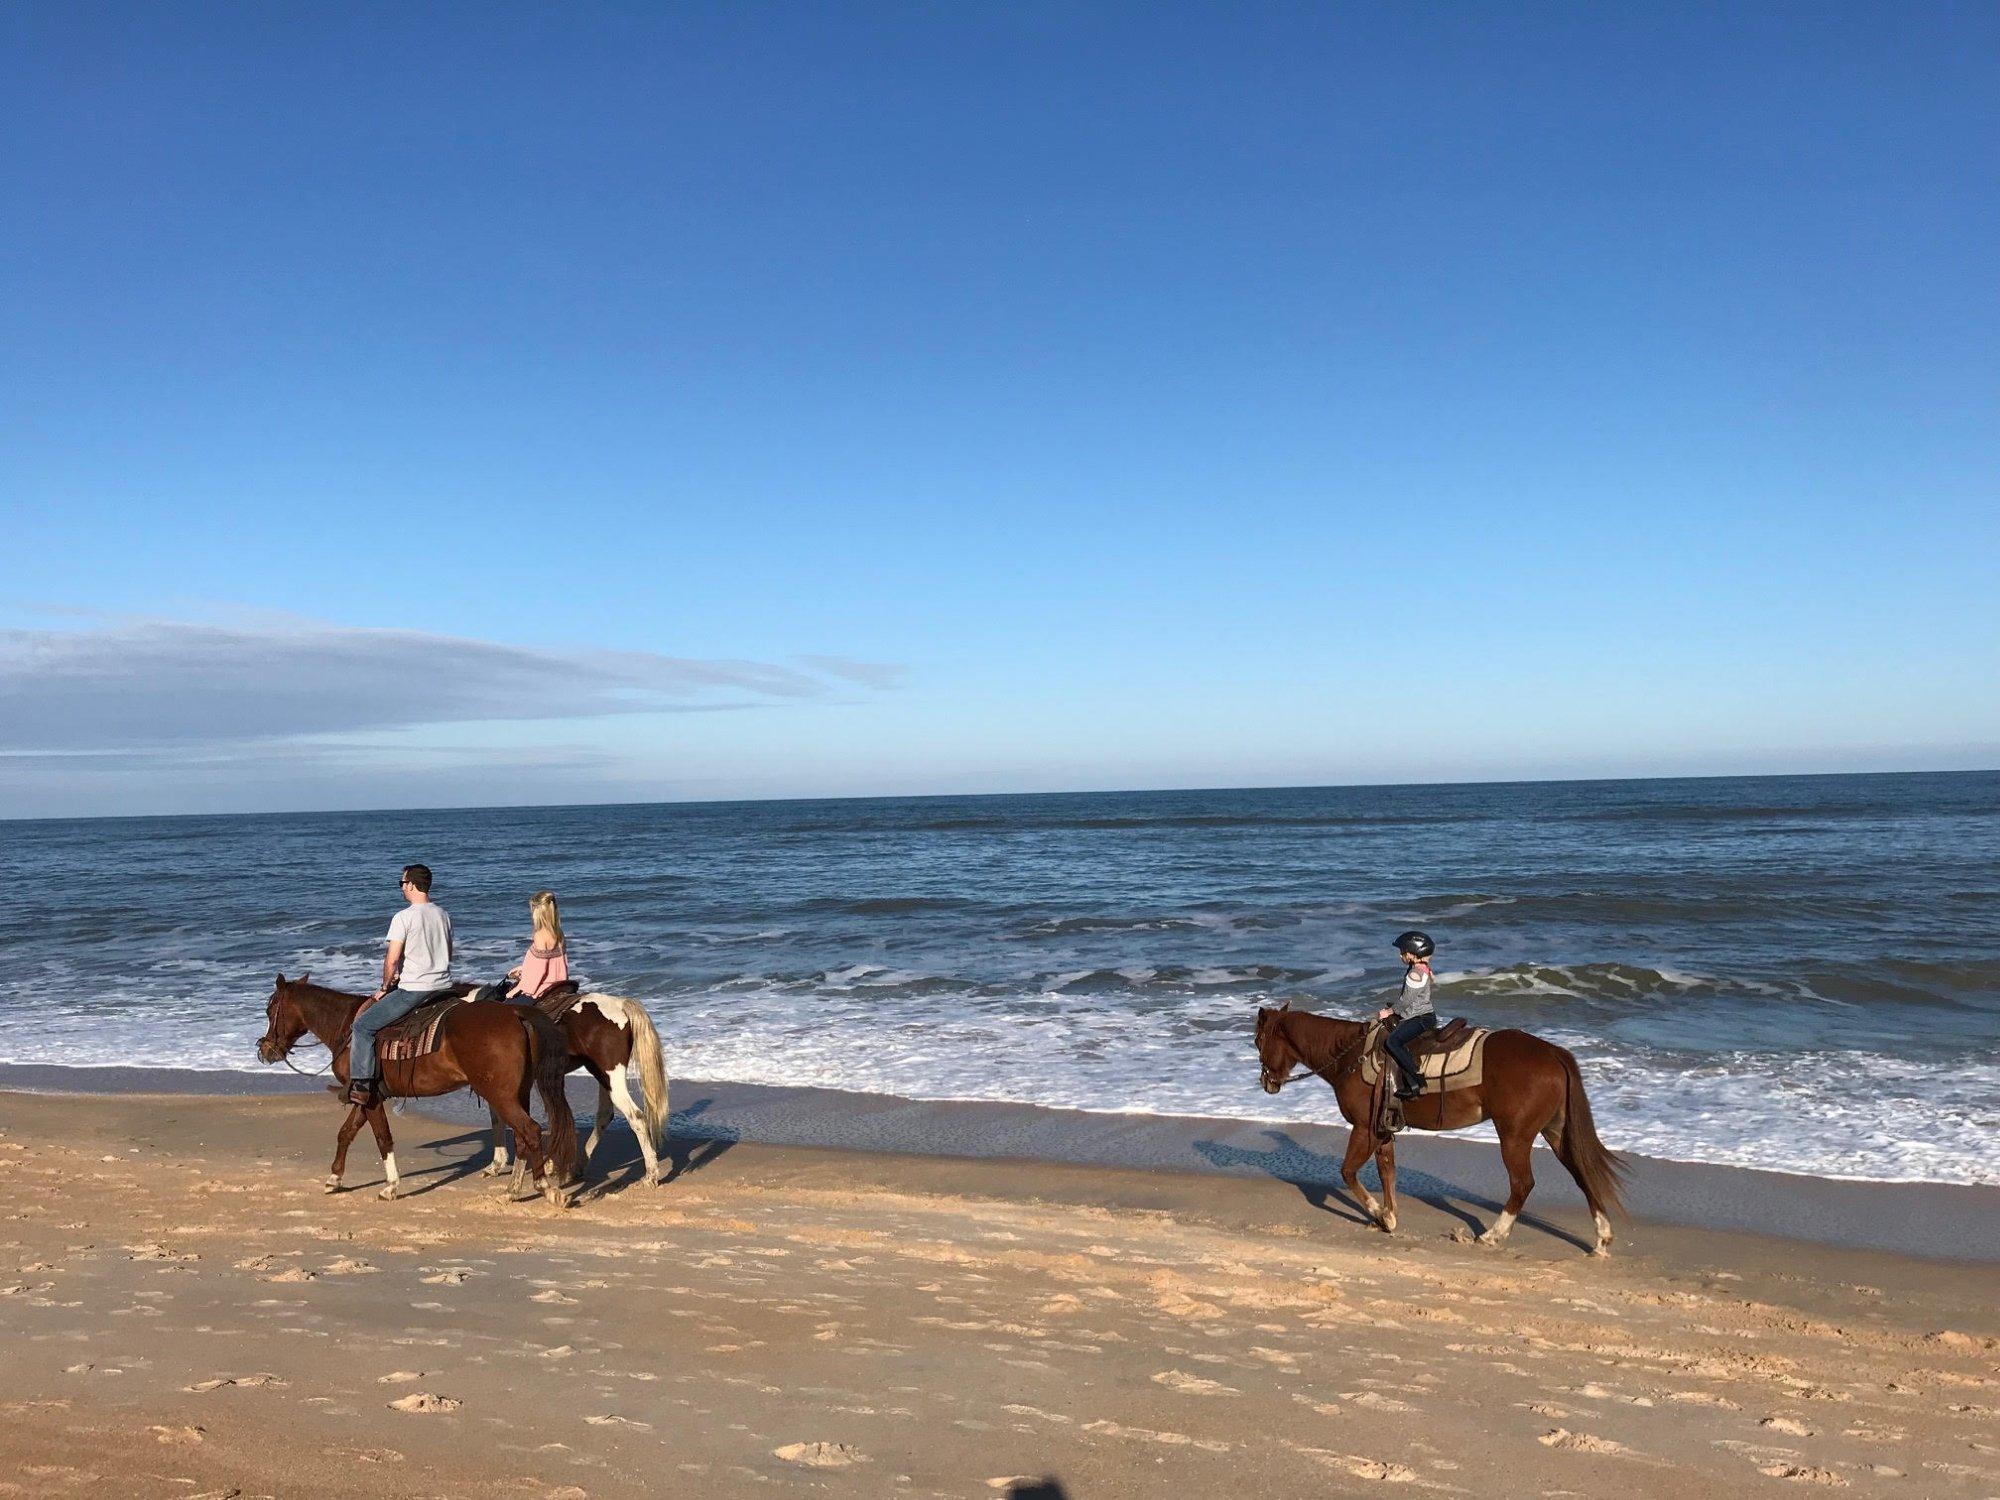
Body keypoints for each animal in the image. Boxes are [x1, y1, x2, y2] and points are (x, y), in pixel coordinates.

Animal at [254, 976, 576, 1208]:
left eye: (270, 1010)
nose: (265, 1050)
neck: (347, 1026)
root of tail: (515, 1012)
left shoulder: (370, 1098)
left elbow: (382, 1138)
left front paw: (391, 1187)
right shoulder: (365, 1096)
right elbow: (346, 1133)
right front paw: (334, 1178)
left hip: (500, 1095)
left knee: (530, 1131)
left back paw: (544, 1187)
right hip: (516, 1092)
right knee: (522, 1137)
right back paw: (513, 1191)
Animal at [482, 992, 672, 1192]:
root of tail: (620, 1004)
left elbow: (498, 1119)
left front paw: (496, 1164)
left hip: (610, 1075)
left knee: (636, 1117)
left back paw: (650, 1176)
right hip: (603, 1076)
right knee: (604, 1115)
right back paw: (575, 1167)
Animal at [1256, 1004, 1632, 1264]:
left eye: (1258, 1041)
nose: (1267, 1083)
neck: (1352, 1055)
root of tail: (1553, 1052)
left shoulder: (1364, 1129)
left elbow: (1349, 1172)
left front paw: (1380, 1214)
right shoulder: (1382, 1131)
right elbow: (1387, 1172)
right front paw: (1388, 1217)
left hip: (1514, 1135)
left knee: (1523, 1183)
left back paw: (1493, 1235)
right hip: (1555, 1132)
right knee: (1582, 1174)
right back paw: (1602, 1239)